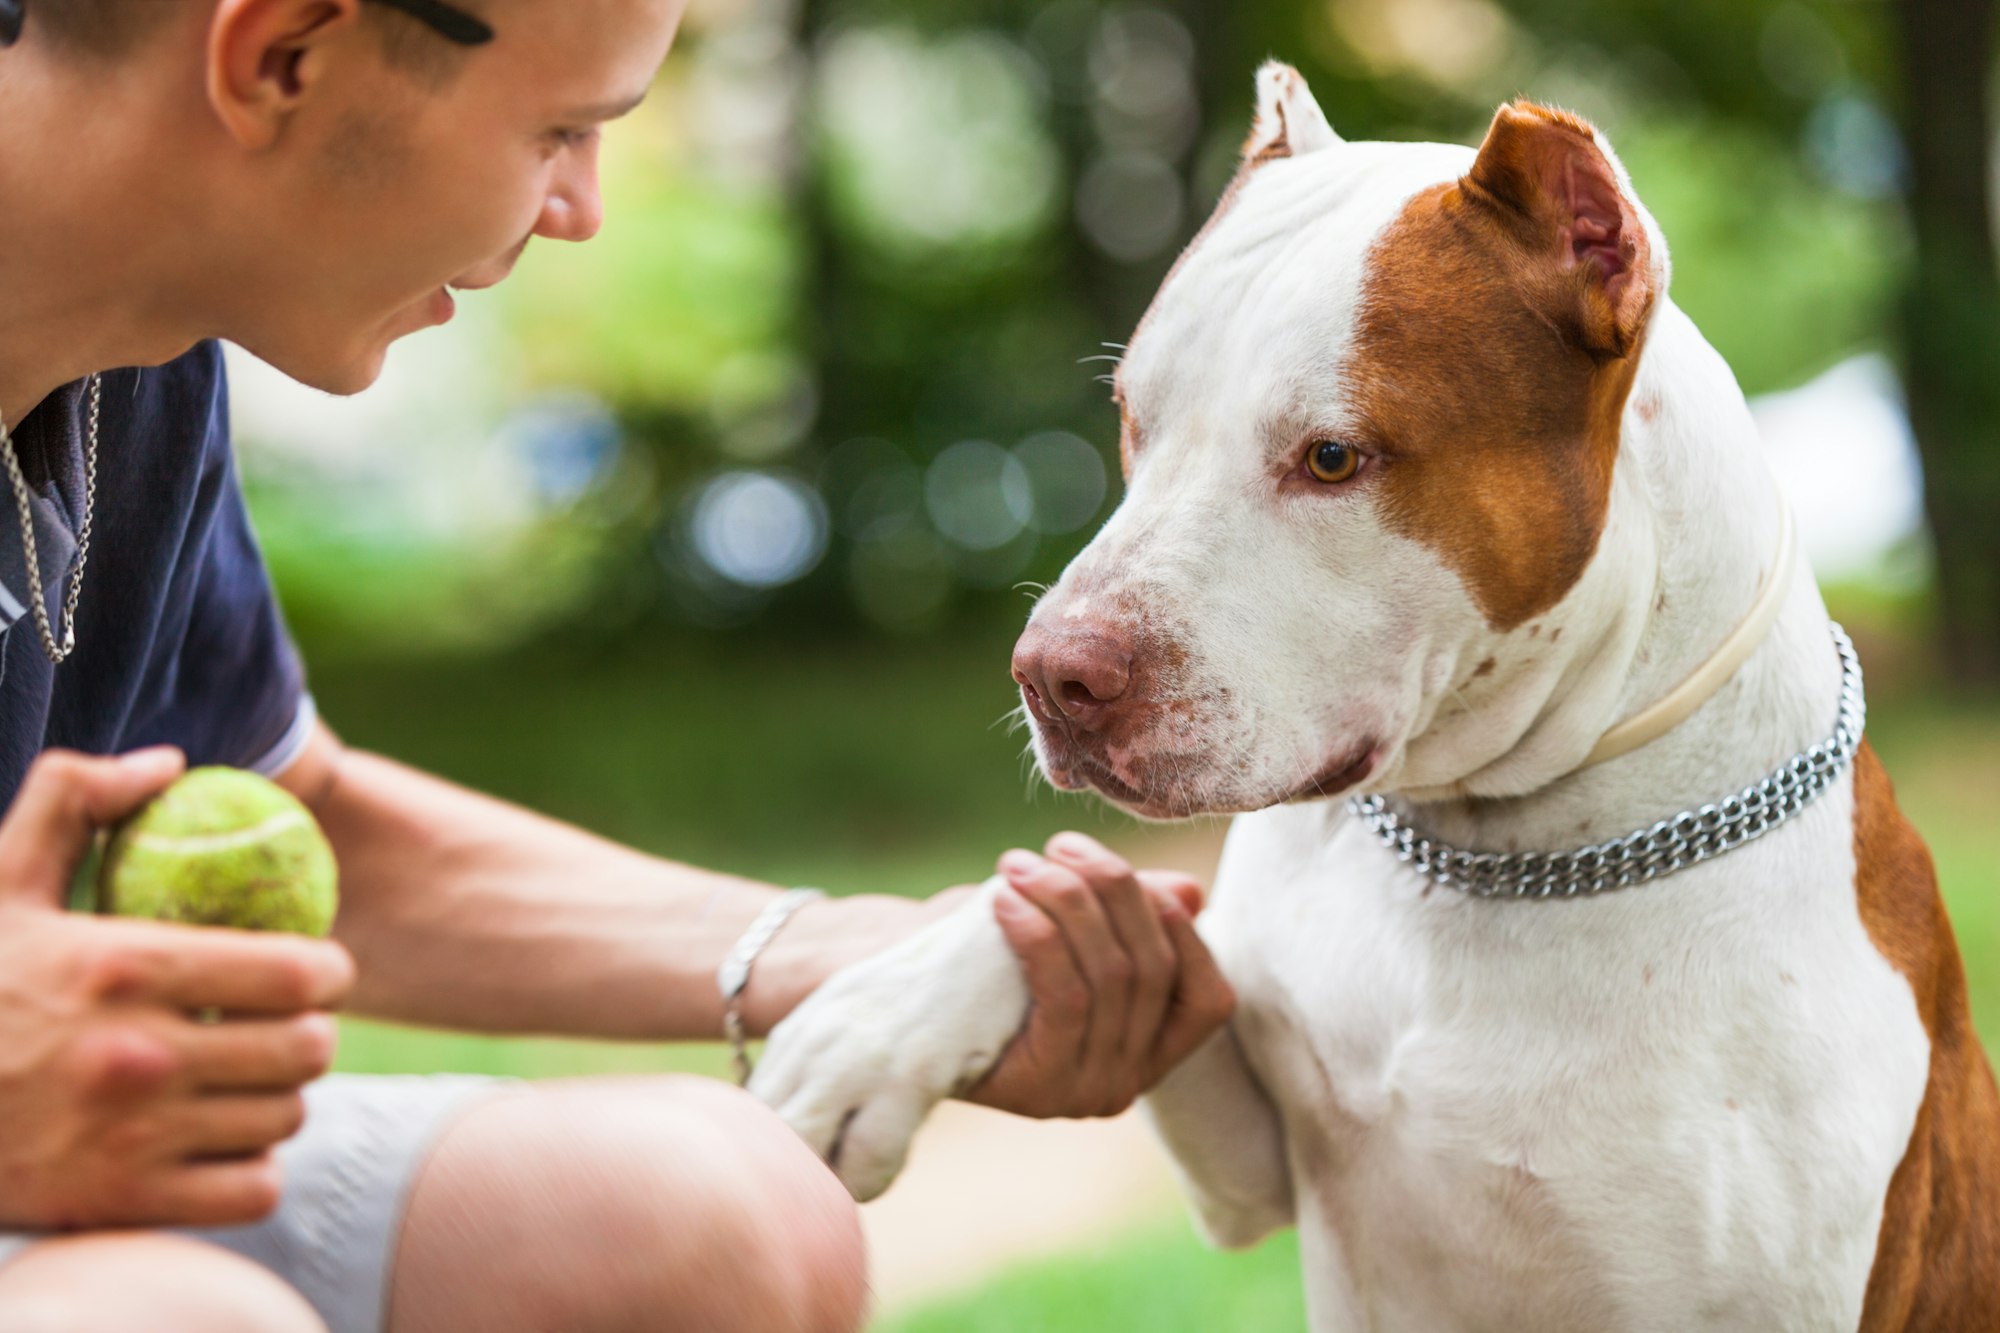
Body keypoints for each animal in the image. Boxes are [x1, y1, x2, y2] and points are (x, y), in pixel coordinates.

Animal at [752, 65, 2000, 1328]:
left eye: (1331, 458)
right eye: (1133, 420)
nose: (1052, 673)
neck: (1493, 855)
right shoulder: (1245, 1162)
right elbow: (1116, 918)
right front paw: (874, 1024)